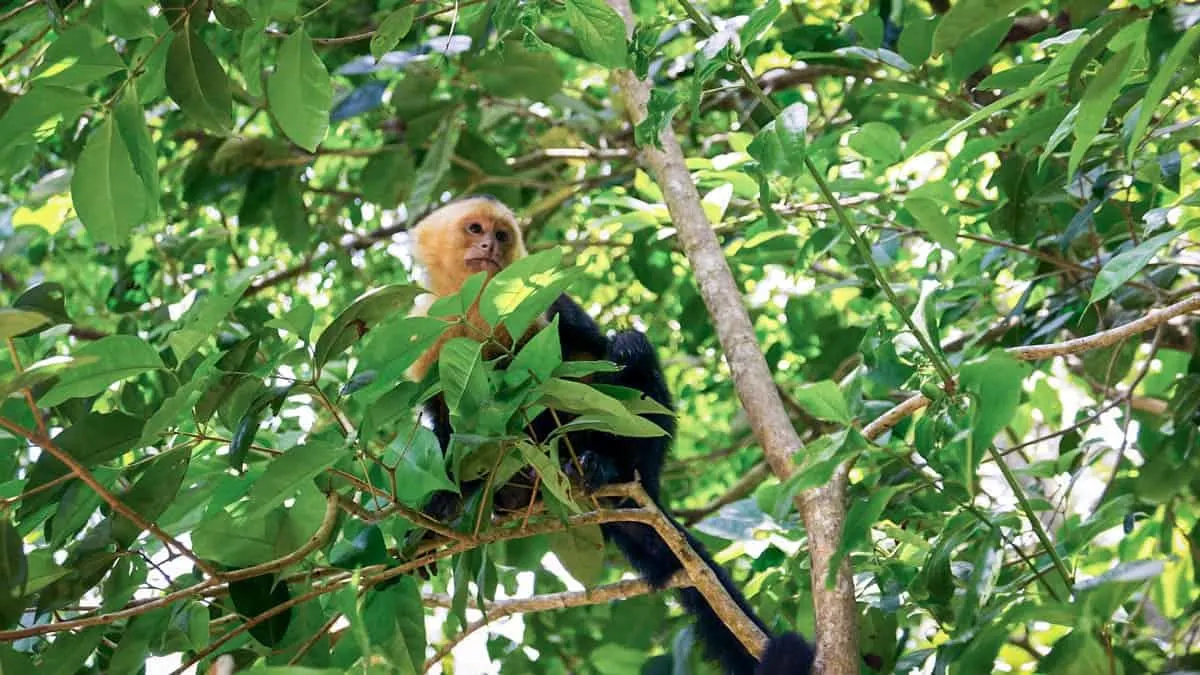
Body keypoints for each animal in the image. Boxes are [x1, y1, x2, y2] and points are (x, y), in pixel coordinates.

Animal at [405, 194, 816, 672]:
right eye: (475, 229)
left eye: (502, 235)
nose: (490, 245)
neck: (475, 301)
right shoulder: (426, 326)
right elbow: (446, 419)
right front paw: (442, 503)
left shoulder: (534, 300)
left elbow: (573, 365)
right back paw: (511, 492)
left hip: (645, 465)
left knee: (627, 347)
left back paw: (603, 469)